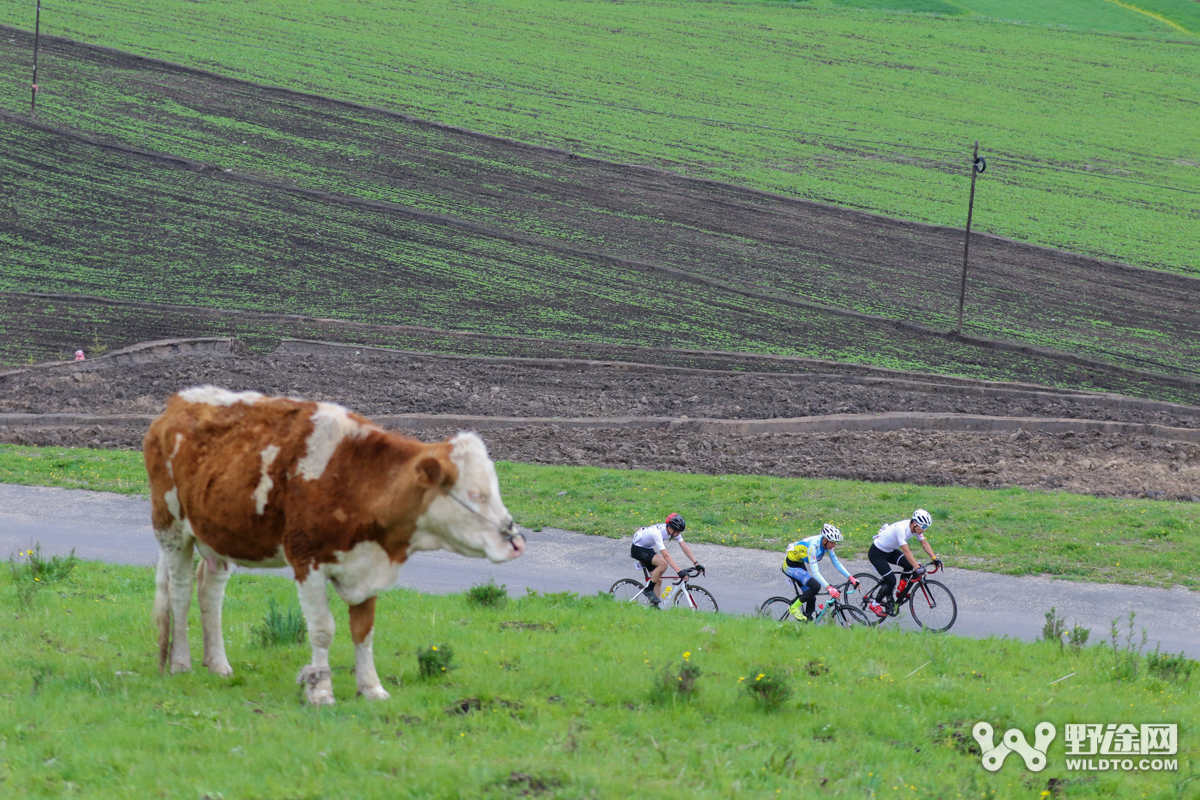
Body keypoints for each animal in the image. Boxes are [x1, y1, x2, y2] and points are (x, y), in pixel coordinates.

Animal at [142, 383, 523, 705]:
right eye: (475, 494)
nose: (516, 542)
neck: (357, 480)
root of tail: (178, 401)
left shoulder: (367, 565)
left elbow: (364, 631)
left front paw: (371, 688)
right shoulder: (307, 562)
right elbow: (323, 629)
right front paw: (321, 691)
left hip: (220, 535)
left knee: (210, 590)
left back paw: (218, 664)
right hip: (171, 528)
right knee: (180, 592)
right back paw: (180, 663)